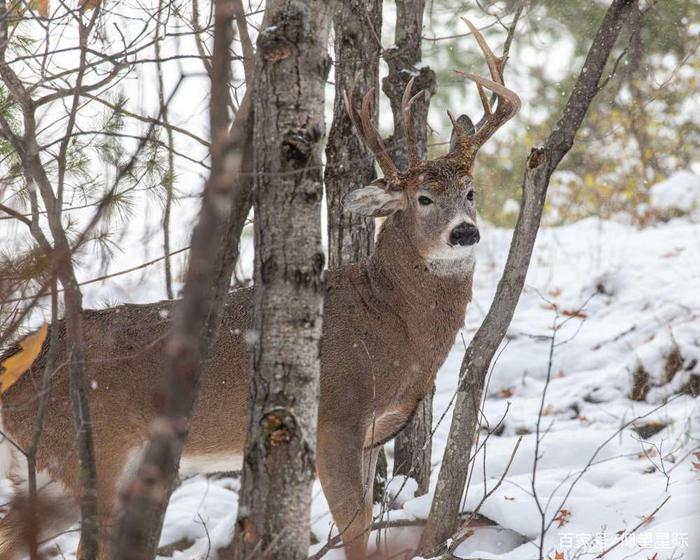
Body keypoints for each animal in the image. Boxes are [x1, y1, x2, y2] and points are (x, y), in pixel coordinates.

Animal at [0, 20, 516, 560]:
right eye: (423, 198)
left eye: (471, 193)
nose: (465, 232)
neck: (389, 320)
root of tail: (14, 359)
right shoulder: (335, 418)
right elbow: (355, 531)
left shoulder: (374, 434)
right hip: (93, 452)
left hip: (50, 471)